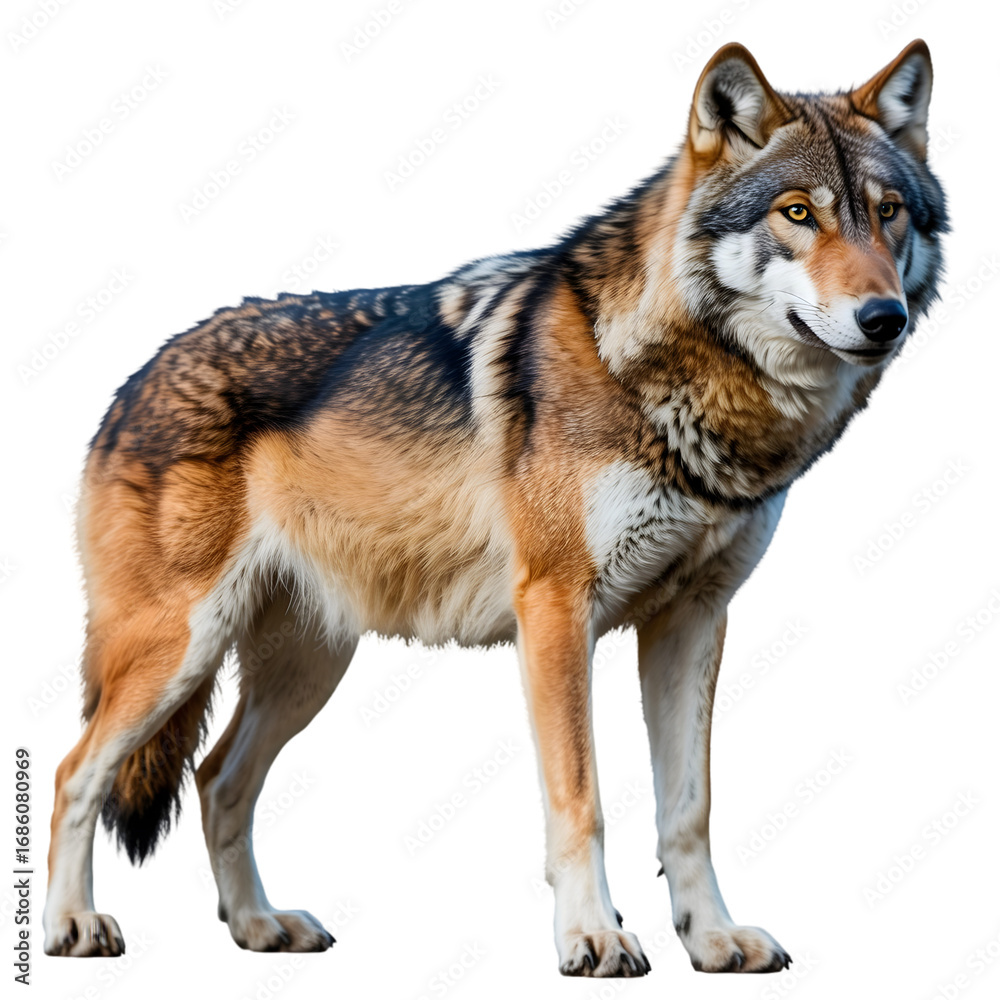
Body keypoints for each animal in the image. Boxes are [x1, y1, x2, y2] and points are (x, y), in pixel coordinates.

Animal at [44, 40, 946, 977]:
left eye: (888, 214)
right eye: (797, 213)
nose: (884, 317)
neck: (677, 383)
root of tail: (134, 377)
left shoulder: (695, 619)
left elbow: (688, 808)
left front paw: (712, 938)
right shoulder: (555, 610)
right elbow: (581, 798)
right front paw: (592, 936)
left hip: (306, 669)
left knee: (217, 780)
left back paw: (260, 925)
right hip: (178, 649)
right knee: (77, 772)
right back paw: (74, 925)